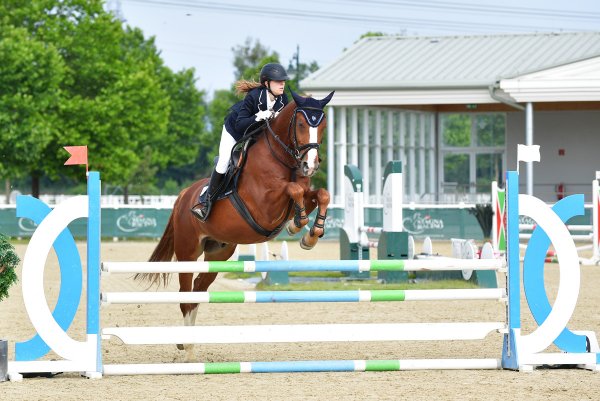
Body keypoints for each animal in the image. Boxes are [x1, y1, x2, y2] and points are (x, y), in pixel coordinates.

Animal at [139, 90, 336, 360]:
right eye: (300, 124)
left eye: (323, 125)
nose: (311, 165)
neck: (282, 159)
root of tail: (183, 196)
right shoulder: (265, 207)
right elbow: (292, 189)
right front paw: (298, 227)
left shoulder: (304, 193)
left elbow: (321, 194)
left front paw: (310, 234)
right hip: (188, 252)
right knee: (185, 295)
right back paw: (184, 345)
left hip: (218, 252)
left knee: (197, 291)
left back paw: (188, 342)